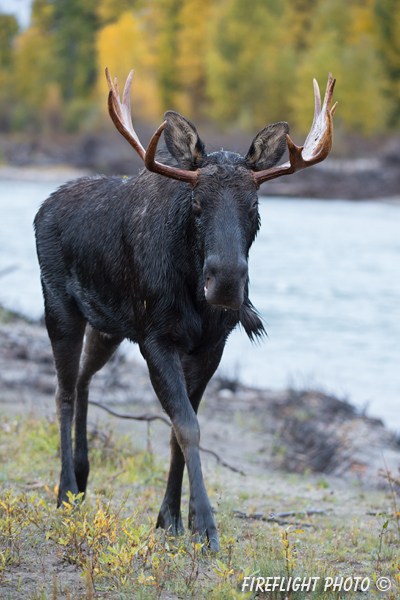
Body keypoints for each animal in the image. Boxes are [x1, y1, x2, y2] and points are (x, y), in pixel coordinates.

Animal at [34, 68, 336, 552]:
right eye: (196, 202)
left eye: (255, 205)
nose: (227, 283)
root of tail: (44, 205)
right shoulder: (157, 339)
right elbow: (187, 426)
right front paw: (206, 527)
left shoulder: (211, 346)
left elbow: (180, 430)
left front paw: (172, 518)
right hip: (59, 307)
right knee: (61, 390)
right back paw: (64, 492)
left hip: (108, 326)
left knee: (81, 378)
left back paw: (82, 477)